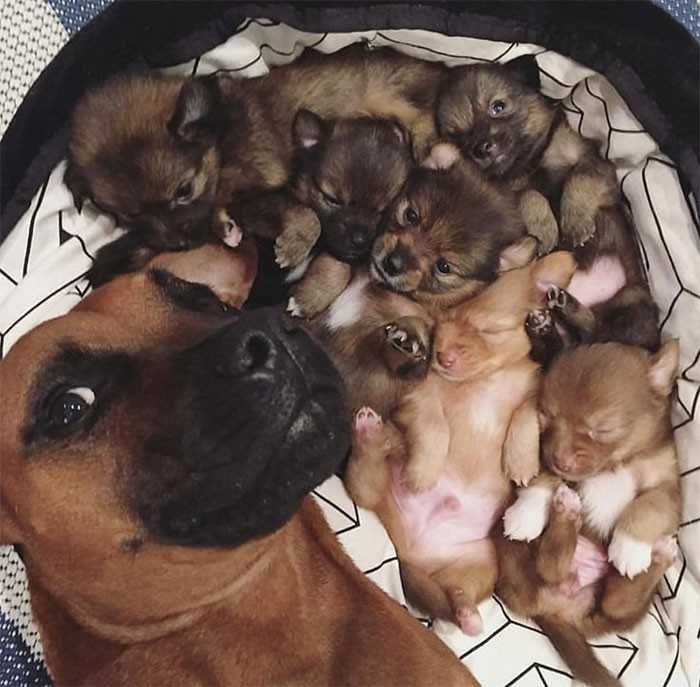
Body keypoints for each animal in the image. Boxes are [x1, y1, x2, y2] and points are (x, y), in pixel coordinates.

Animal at [66, 44, 445, 286]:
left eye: (184, 191)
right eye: (130, 215)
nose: (180, 244)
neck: (220, 140)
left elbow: (305, 215)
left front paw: (292, 245)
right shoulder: (248, 205)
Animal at [345, 252, 577, 635]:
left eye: (490, 329)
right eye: (440, 326)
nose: (443, 358)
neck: (488, 379)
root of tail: (409, 549)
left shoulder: (537, 398)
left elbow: (525, 412)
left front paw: (521, 460)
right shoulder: (419, 395)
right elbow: (435, 424)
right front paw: (424, 472)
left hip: (480, 563)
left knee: (459, 593)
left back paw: (467, 616)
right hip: (379, 477)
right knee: (364, 482)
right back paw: (367, 433)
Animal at [436, 55, 659, 350]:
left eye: (498, 107)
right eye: (457, 136)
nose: (480, 148)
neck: (529, 163)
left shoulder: (597, 168)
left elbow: (578, 177)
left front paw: (575, 221)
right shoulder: (510, 195)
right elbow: (529, 194)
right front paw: (544, 228)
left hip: (633, 304)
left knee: (600, 333)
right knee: (587, 336)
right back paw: (561, 310)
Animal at [499, 340, 681, 687]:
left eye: (602, 428)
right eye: (546, 416)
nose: (559, 458)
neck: (615, 464)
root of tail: (557, 610)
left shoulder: (668, 488)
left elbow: (647, 507)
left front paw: (629, 547)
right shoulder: (552, 466)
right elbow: (543, 480)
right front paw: (525, 514)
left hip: (618, 610)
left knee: (617, 602)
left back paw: (658, 555)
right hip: (516, 558)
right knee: (550, 567)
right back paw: (566, 511)